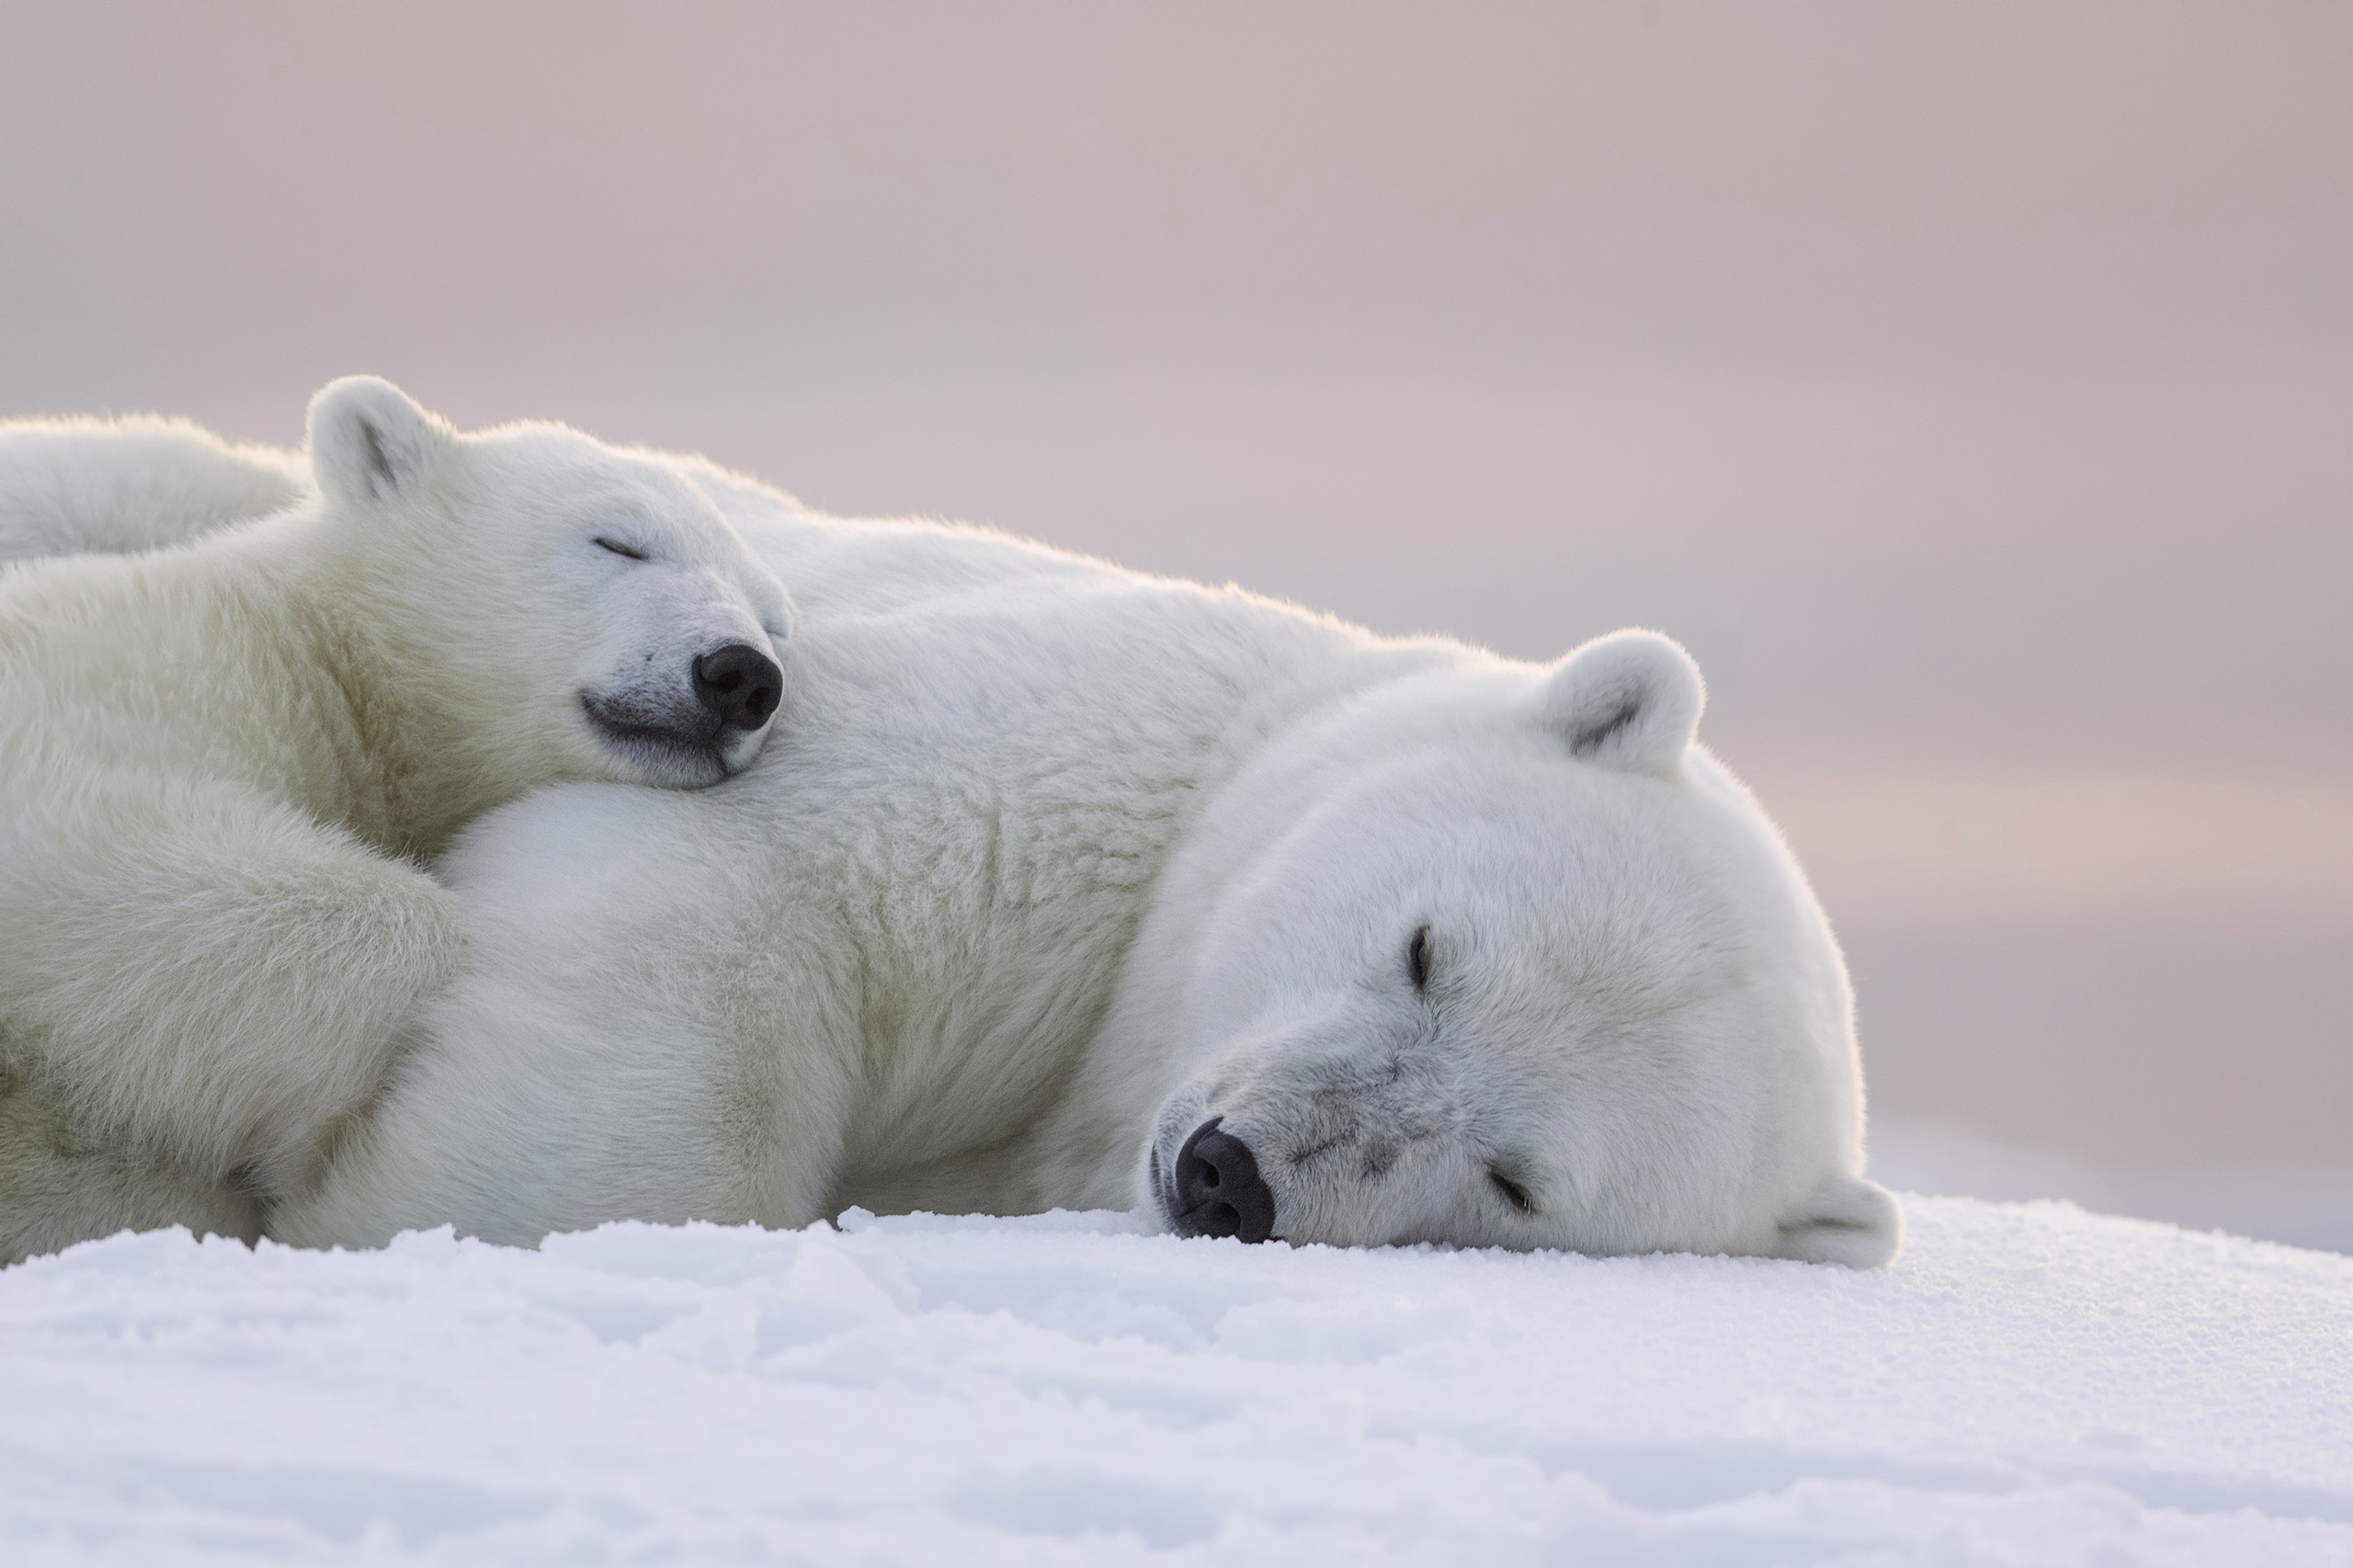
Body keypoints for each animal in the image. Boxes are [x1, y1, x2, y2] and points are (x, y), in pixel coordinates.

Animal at [0, 379, 800, 1261]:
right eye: (618, 542)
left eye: (775, 617)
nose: (740, 674)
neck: (322, 657)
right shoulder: (120, 689)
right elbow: (115, 838)